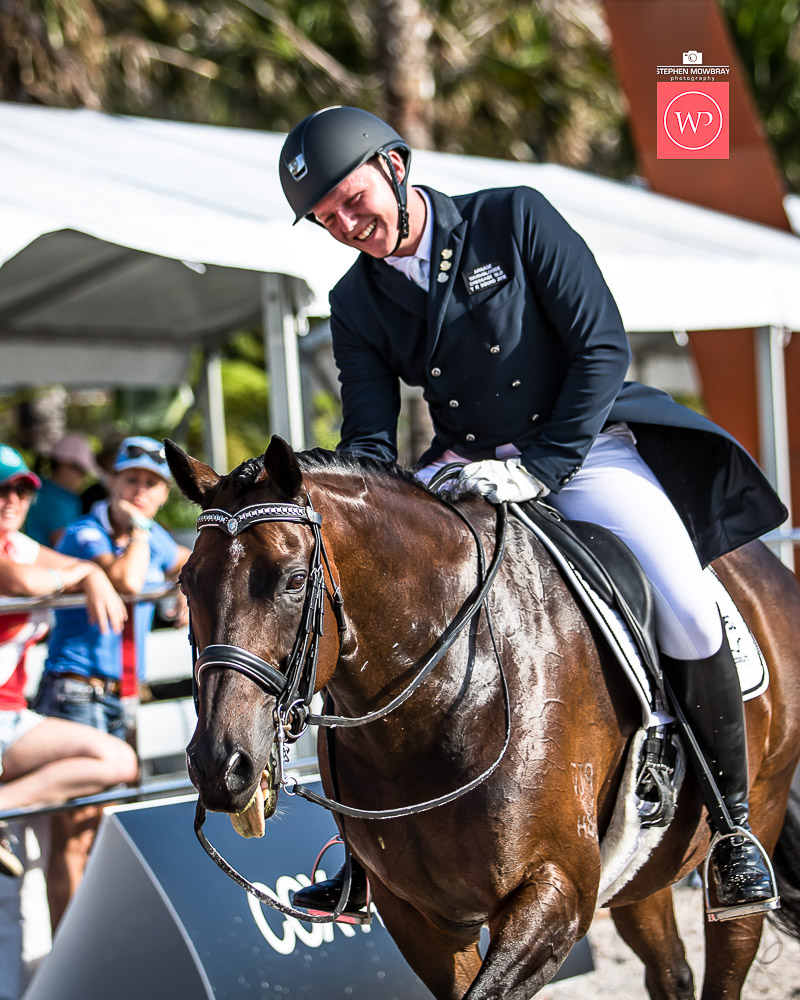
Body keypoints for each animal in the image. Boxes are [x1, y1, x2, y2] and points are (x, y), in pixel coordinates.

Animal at [168, 435, 800, 1000]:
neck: (441, 700)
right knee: (670, 972)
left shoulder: (556, 893)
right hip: (640, 873)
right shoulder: (418, 915)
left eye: (295, 580)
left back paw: (741, 861)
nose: (219, 766)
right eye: (186, 582)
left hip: (759, 810)